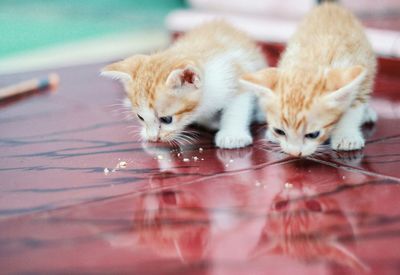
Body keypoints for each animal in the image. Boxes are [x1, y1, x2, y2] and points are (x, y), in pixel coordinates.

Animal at [101, 21, 268, 150]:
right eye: (140, 117)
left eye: (167, 119)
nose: (154, 138)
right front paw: (213, 122)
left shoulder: (236, 74)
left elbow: (237, 108)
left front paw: (232, 135)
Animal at [241, 3, 378, 157]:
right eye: (279, 131)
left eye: (313, 134)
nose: (294, 153)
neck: (311, 59)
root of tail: (329, 5)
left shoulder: (360, 75)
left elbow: (353, 109)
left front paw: (346, 136)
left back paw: (367, 113)